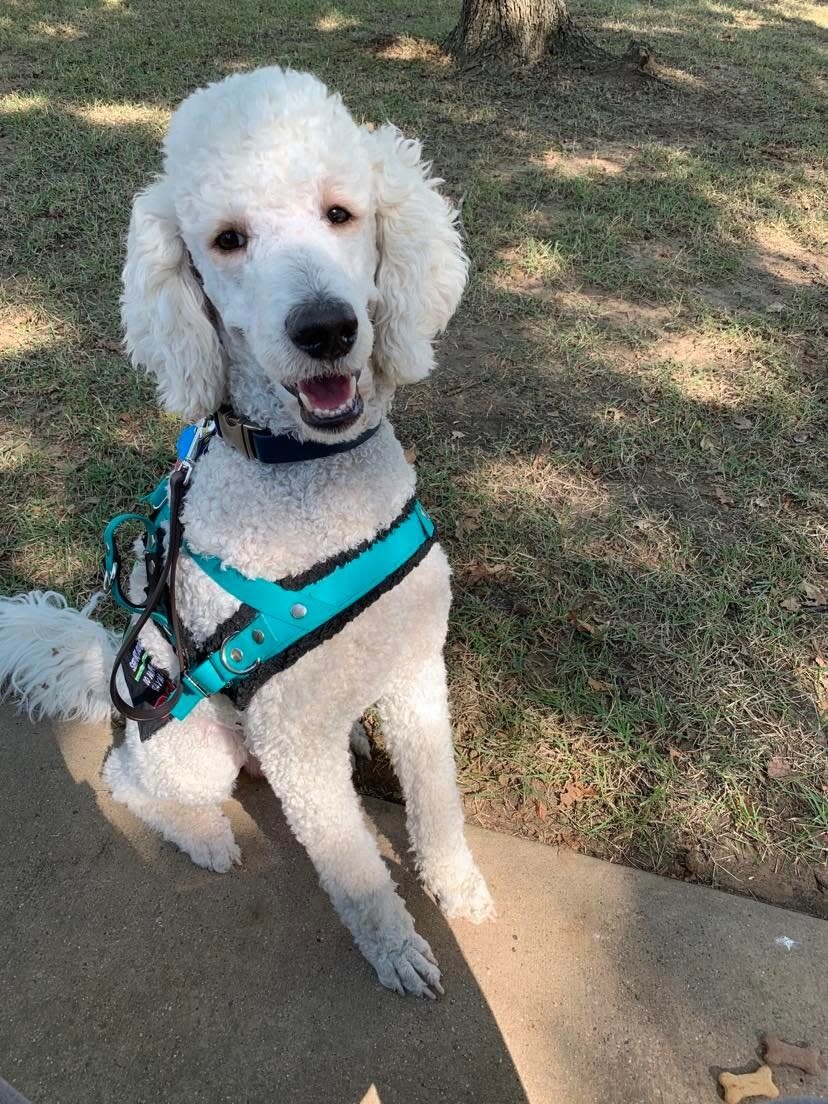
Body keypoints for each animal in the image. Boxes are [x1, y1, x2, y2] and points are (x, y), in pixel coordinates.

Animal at [0, 71, 492, 1002]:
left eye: (341, 213)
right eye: (228, 240)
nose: (326, 328)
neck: (312, 479)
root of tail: (121, 667)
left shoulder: (415, 671)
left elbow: (439, 799)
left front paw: (459, 886)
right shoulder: (297, 741)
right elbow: (354, 871)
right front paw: (396, 949)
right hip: (197, 744)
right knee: (126, 780)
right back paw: (204, 837)